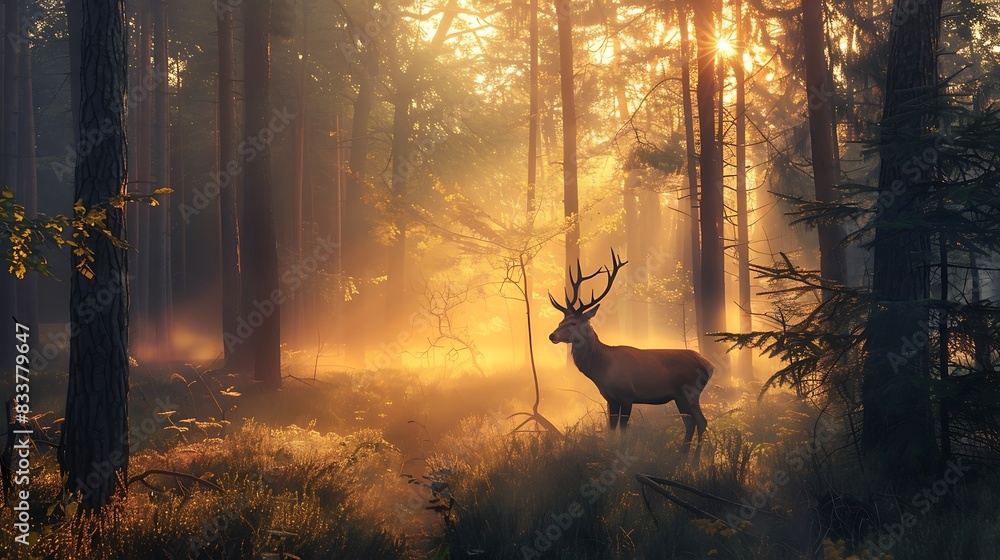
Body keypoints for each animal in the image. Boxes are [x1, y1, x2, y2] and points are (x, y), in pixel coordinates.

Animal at [548, 249, 714, 459]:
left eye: (573, 323)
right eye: (560, 322)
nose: (552, 335)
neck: (604, 368)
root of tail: (710, 365)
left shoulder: (627, 394)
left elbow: (624, 429)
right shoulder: (610, 398)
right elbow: (611, 429)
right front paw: (609, 451)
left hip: (690, 391)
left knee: (700, 421)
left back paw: (694, 461)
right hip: (681, 396)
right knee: (691, 422)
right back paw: (682, 457)